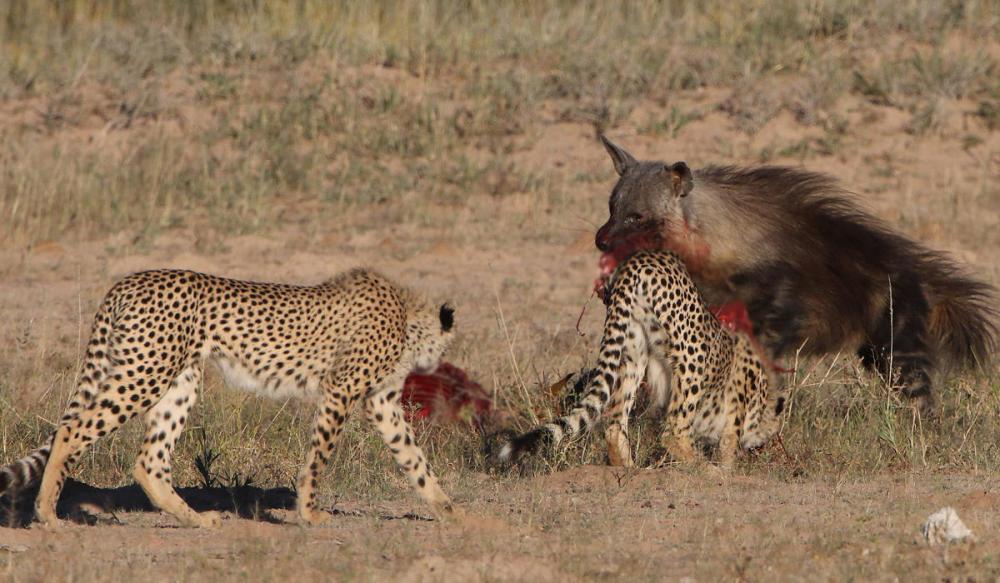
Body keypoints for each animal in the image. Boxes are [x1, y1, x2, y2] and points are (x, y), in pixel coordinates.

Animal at [0, 270, 458, 528]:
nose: (439, 364)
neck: (407, 316)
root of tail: (128, 281)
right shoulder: (340, 391)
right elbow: (319, 459)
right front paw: (309, 514)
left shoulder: (382, 402)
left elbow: (415, 459)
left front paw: (451, 510)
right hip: (144, 374)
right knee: (71, 430)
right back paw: (48, 514)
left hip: (180, 381)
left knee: (149, 460)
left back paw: (197, 521)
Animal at [496, 251, 784, 470]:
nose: (760, 446)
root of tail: (641, 258)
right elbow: (727, 444)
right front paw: (725, 471)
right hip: (692, 352)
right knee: (673, 429)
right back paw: (700, 467)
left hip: (630, 350)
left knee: (614, 423)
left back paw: (629, 469)